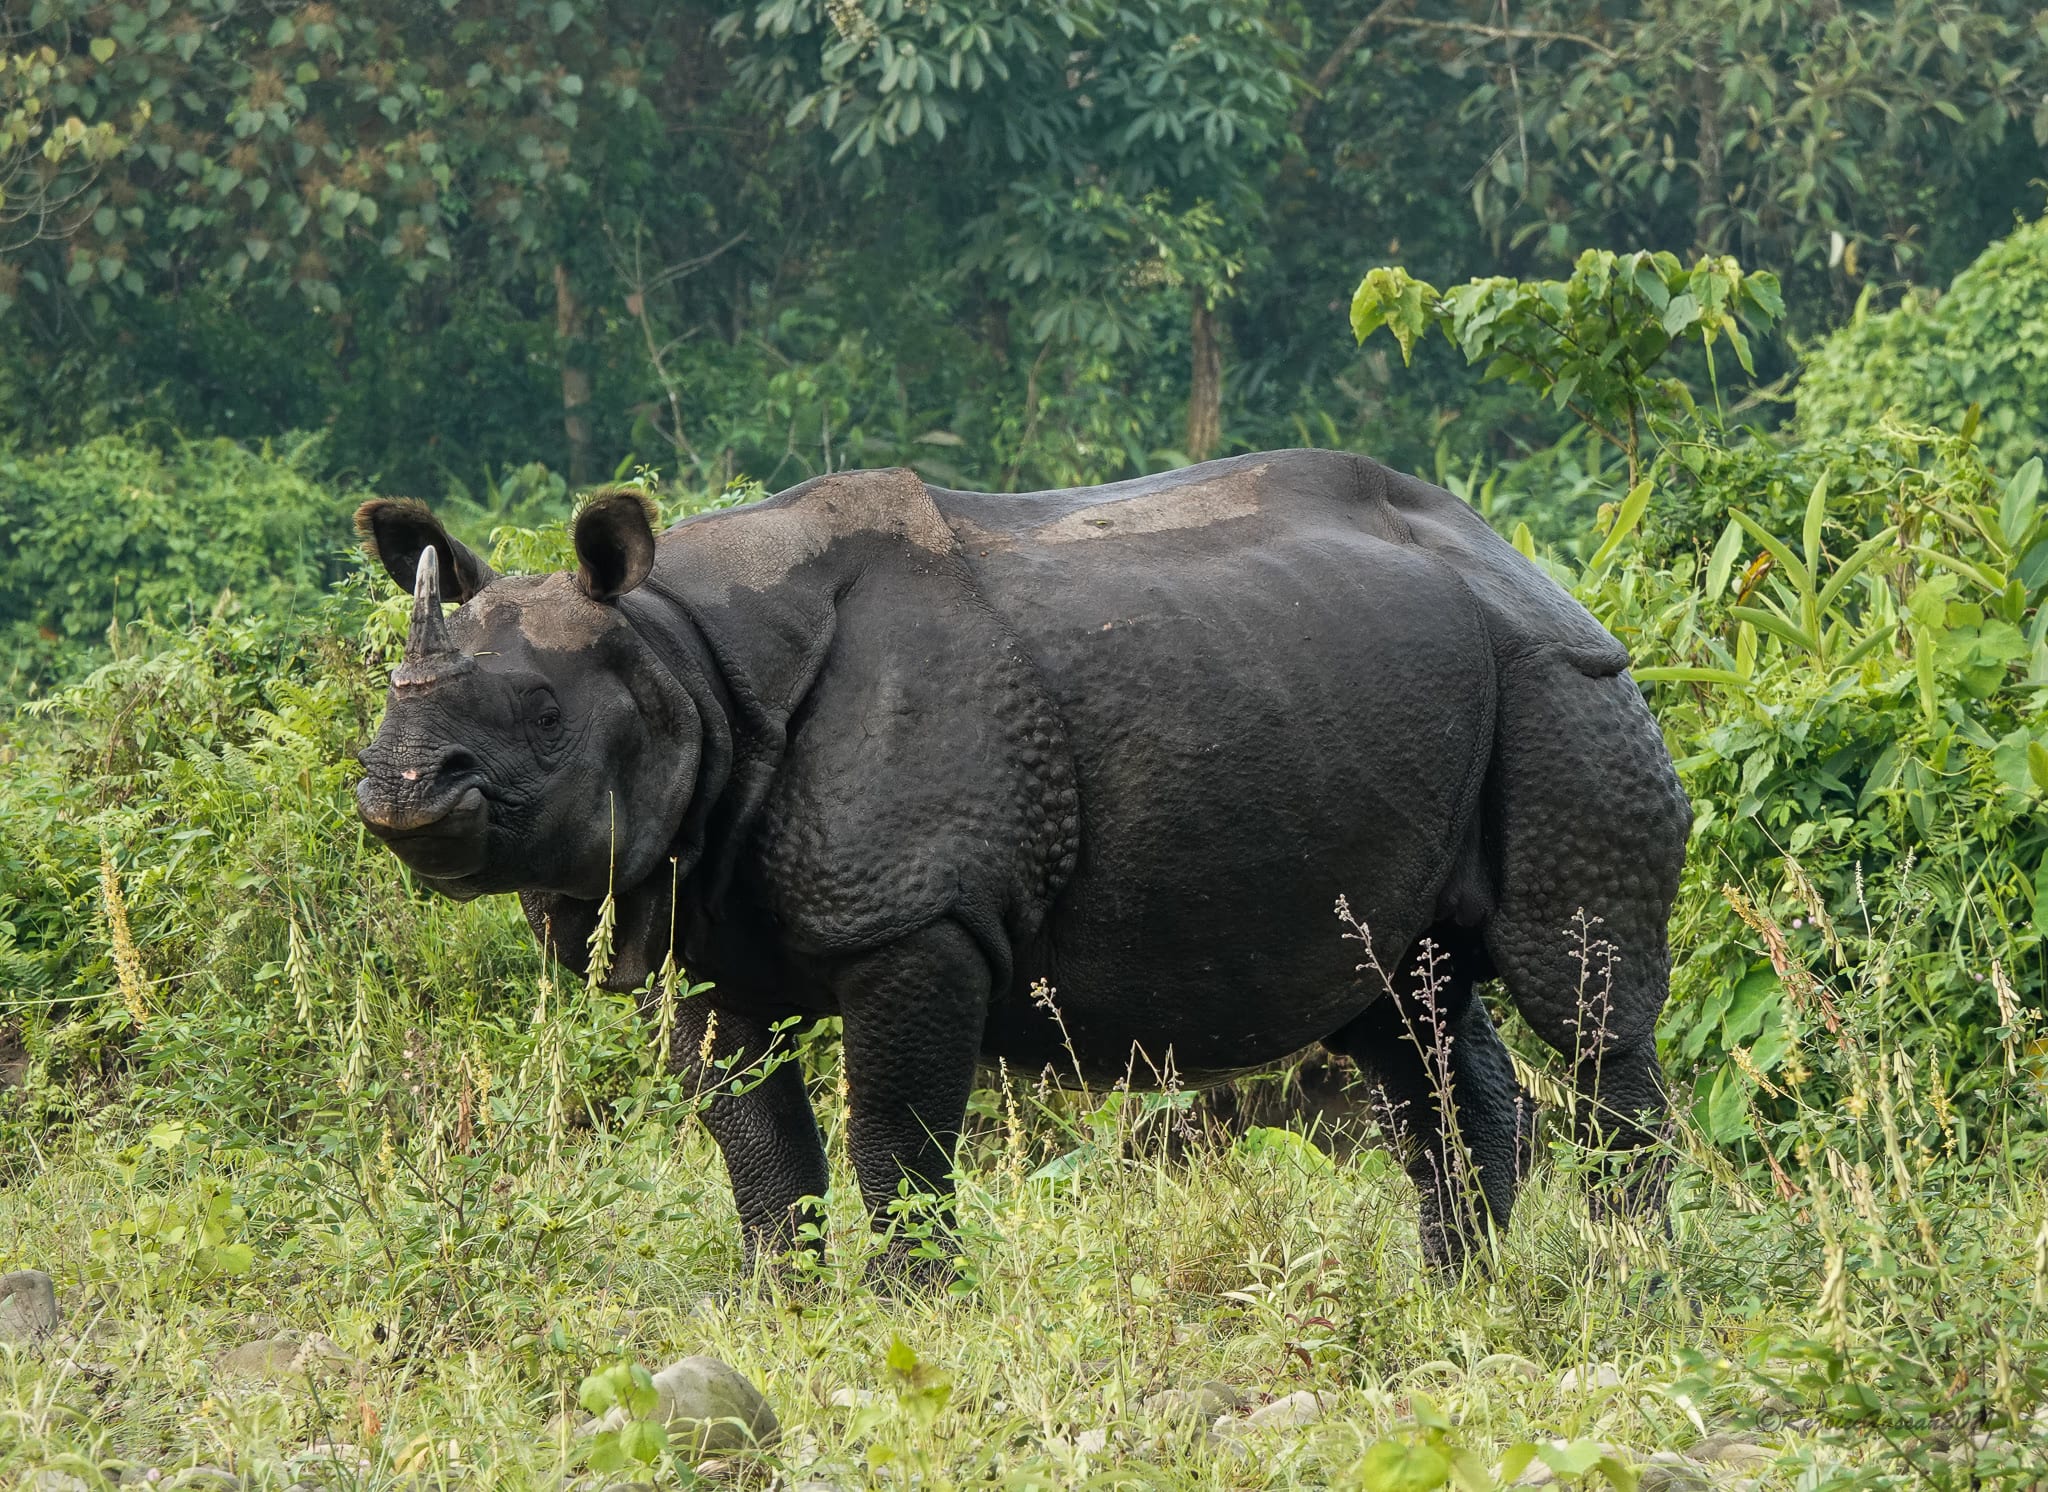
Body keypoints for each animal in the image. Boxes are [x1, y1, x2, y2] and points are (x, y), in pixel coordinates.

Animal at [353, 450, 1690, 1274]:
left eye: (543, 715)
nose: (397, 790)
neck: (679, 649)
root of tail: (1516, 555)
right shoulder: (692, 914)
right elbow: (757, 1143)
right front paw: (778, 1310)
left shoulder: (918, 919)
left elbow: (894, 1136)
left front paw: (907, 1309)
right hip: (1386, 683)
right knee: (1400, 1002)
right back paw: (1459, 1292)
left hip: (1561, 683)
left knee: (1579, 999)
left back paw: (1622, 1277)